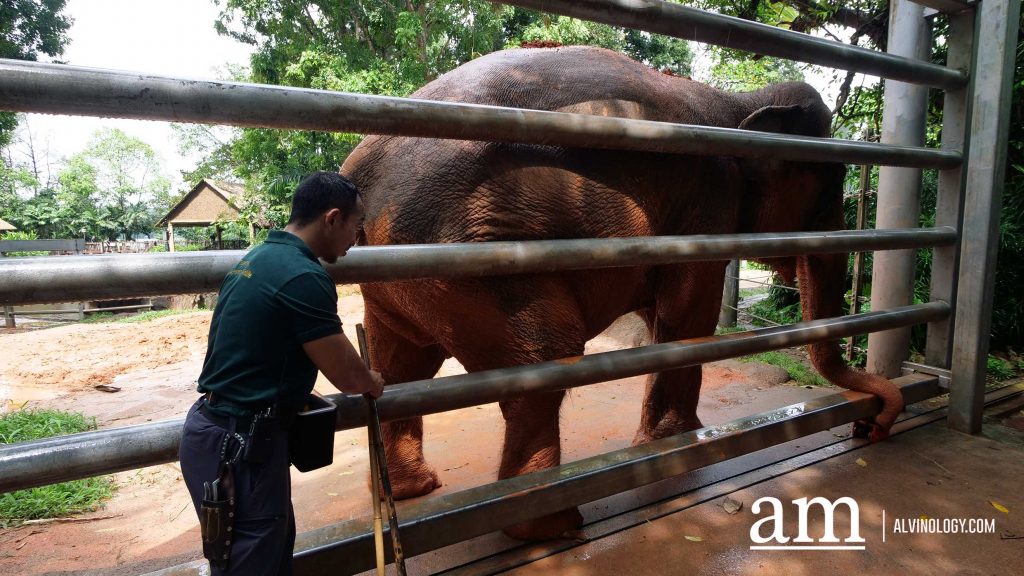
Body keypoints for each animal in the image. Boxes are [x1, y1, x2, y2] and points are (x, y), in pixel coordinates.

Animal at [341, 45, 902, 540]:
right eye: (830, 186)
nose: (871, 427)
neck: (737, 102)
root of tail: (359, 185)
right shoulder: (707, 205)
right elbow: (688, 315)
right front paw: (677, 444)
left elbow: (664, 318)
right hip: (480, 258)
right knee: (546, 357)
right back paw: (550, 526)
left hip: (408, 280)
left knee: (399, 367)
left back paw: (413, 490)